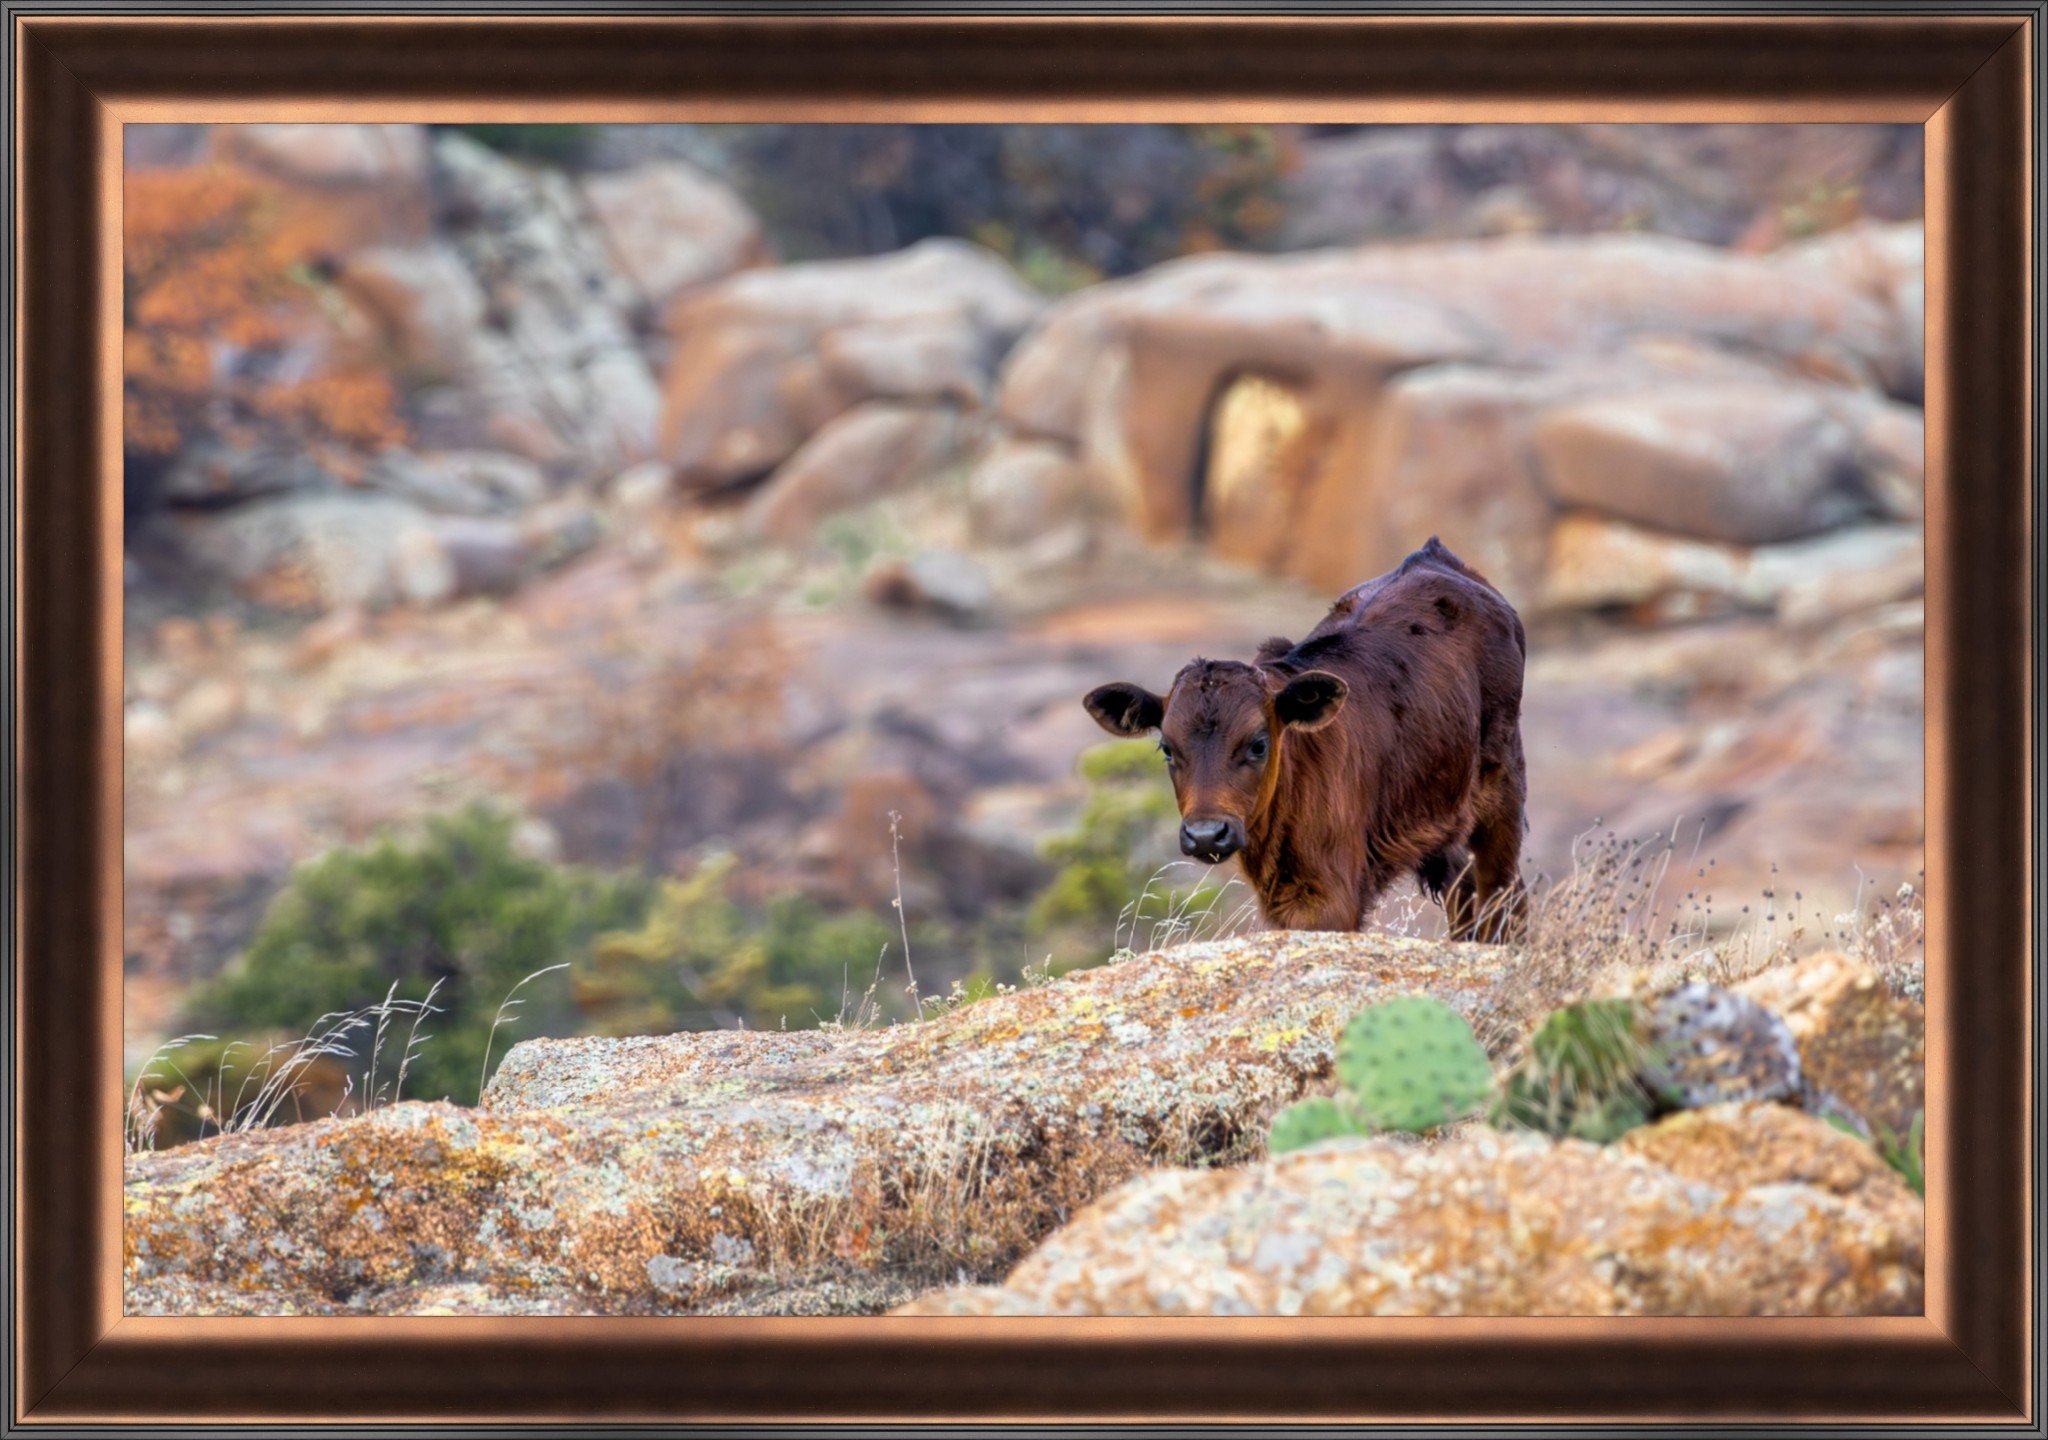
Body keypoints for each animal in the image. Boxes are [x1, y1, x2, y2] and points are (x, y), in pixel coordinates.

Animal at [1083, 537, 1528, 941]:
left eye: (1258, 744)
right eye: (1168, 750)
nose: (1207, 834)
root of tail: (1432, 555)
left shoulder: (1333, 899)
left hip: (1501, 794)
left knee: (1503, 895)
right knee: (1465, 893)